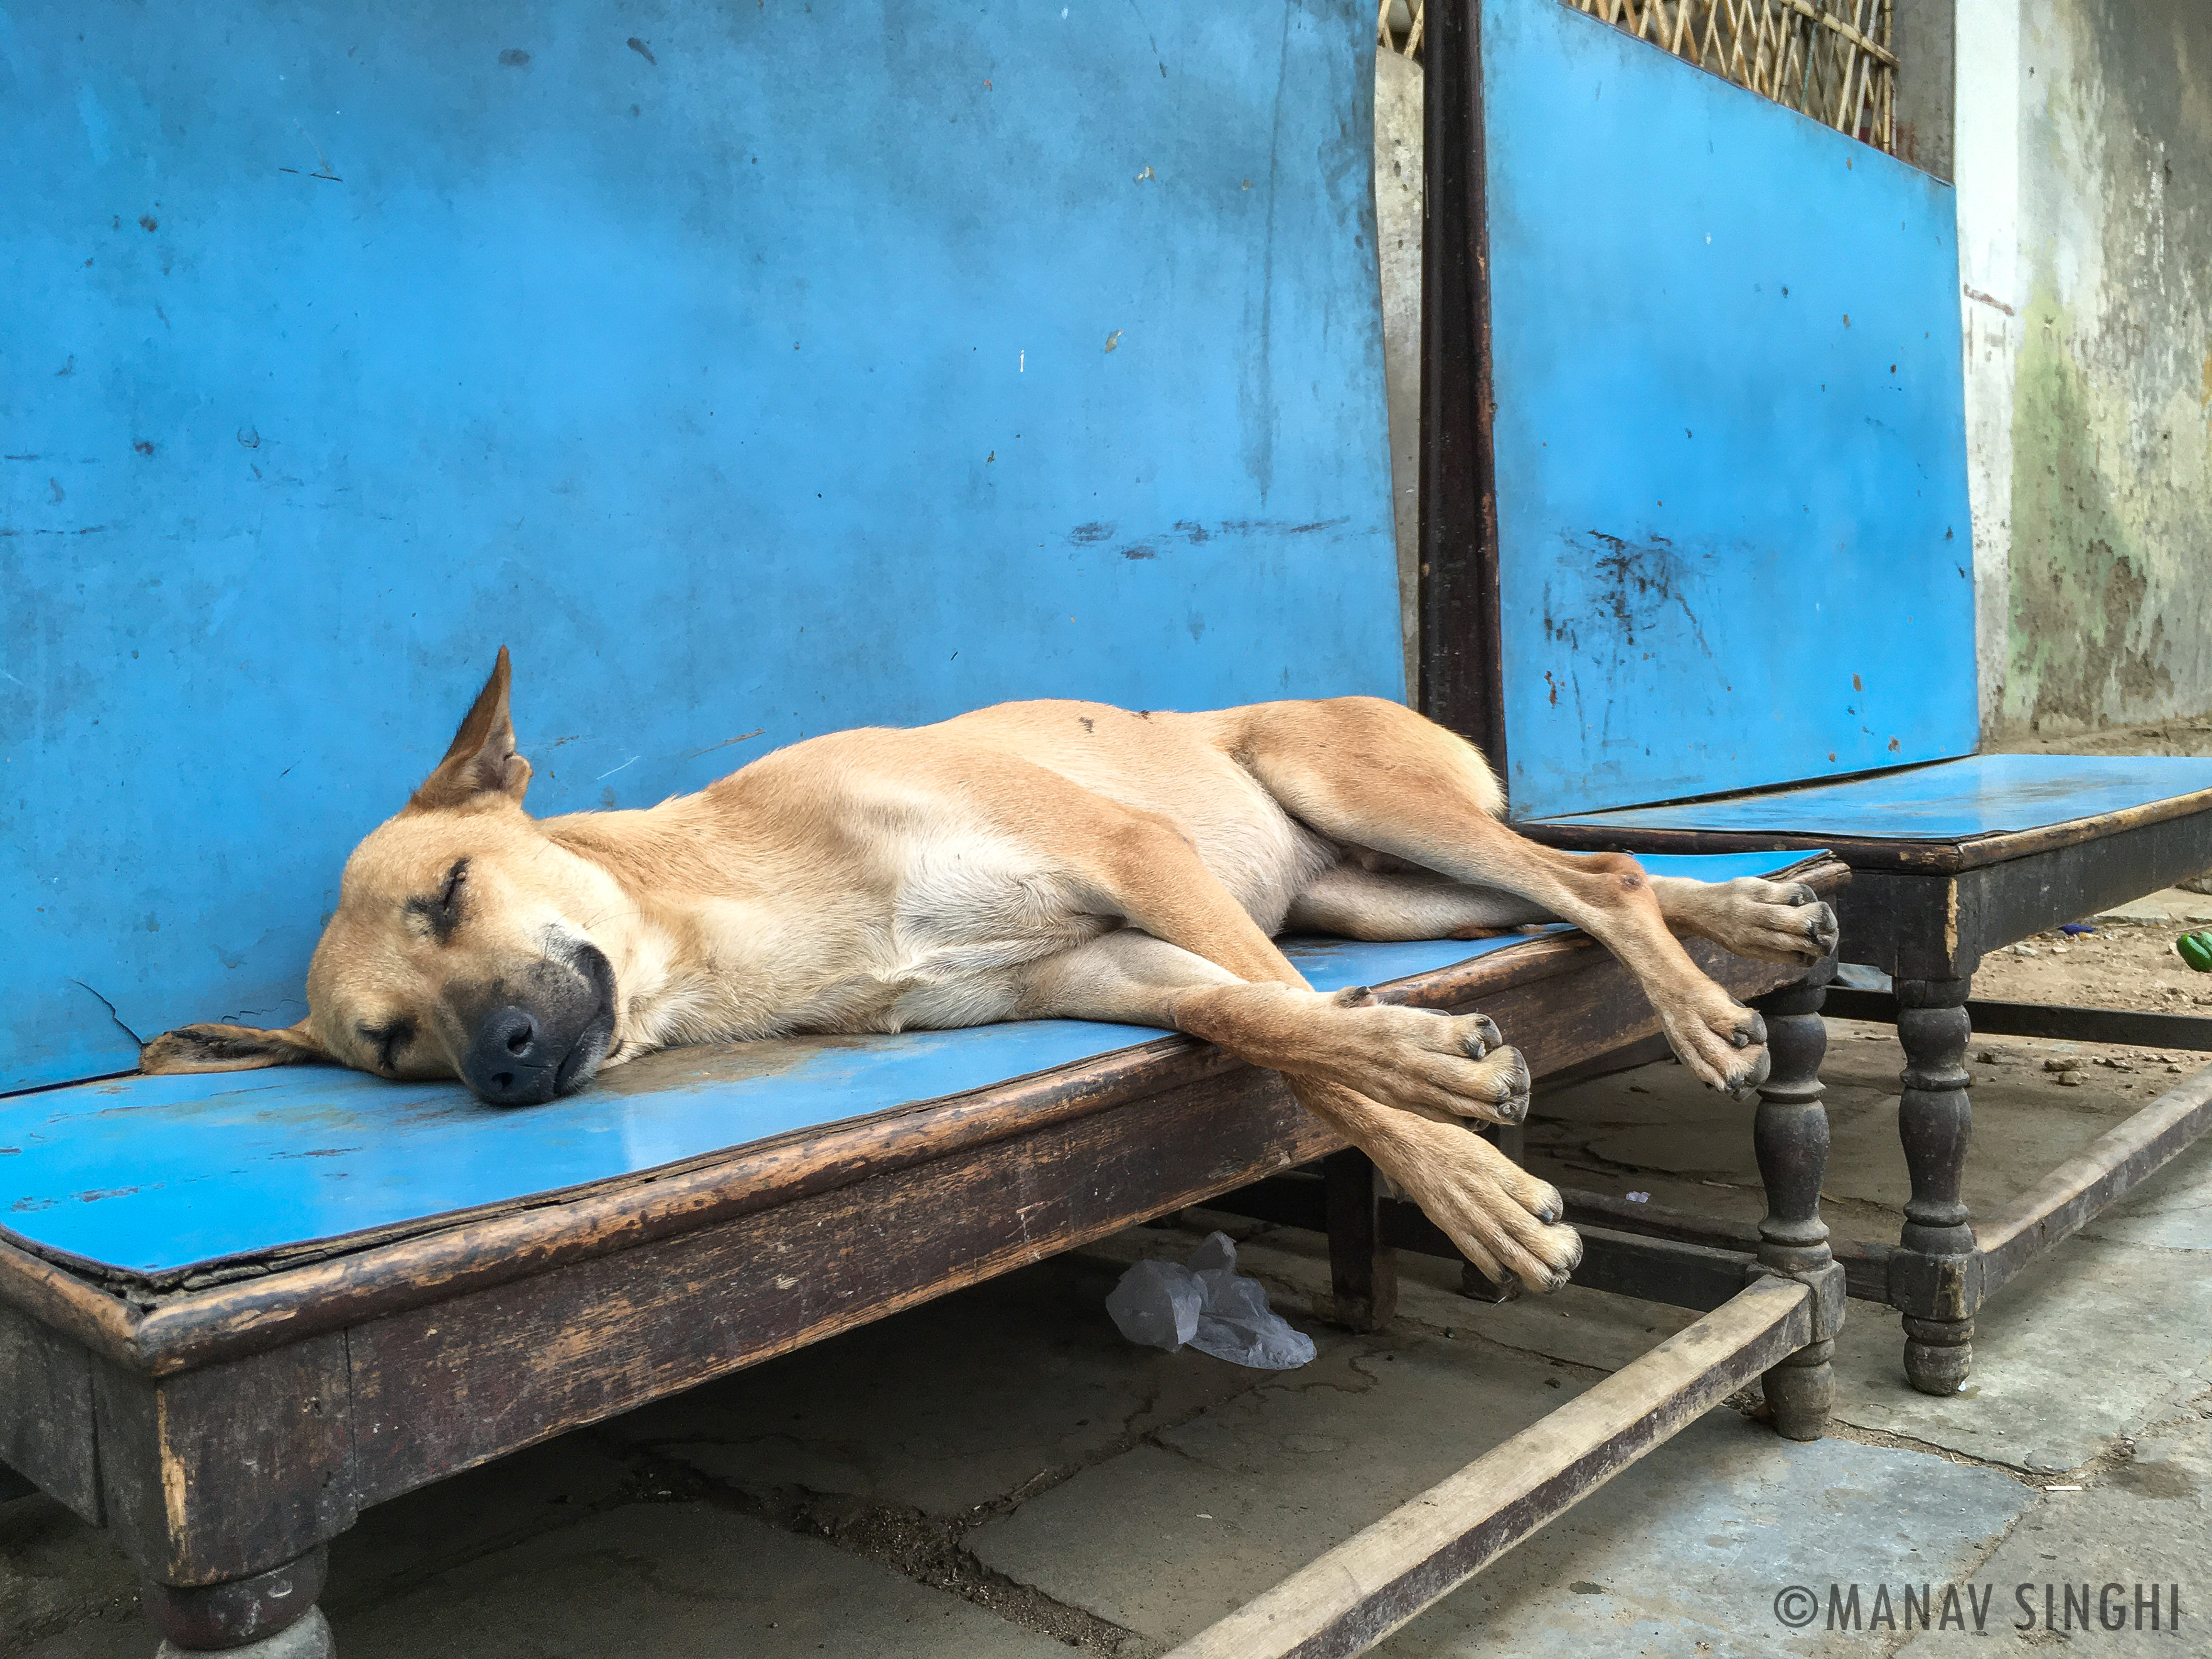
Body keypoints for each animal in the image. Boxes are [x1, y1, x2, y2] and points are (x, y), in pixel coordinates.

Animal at [138, 654, 1831, 1291]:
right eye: (389, 1044)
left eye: (448, 888)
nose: (496, 1052)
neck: (745, 906)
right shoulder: (1092, 962)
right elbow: (1270, 1026)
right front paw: (1425, 1102)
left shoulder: (1136, 851)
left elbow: (1303, 1032)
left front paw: (1457, 1165)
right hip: (1374, 893)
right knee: (1592, 883)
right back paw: (1745, 924)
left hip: (1336, 783)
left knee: (1581, 880)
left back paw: (1702, 998)